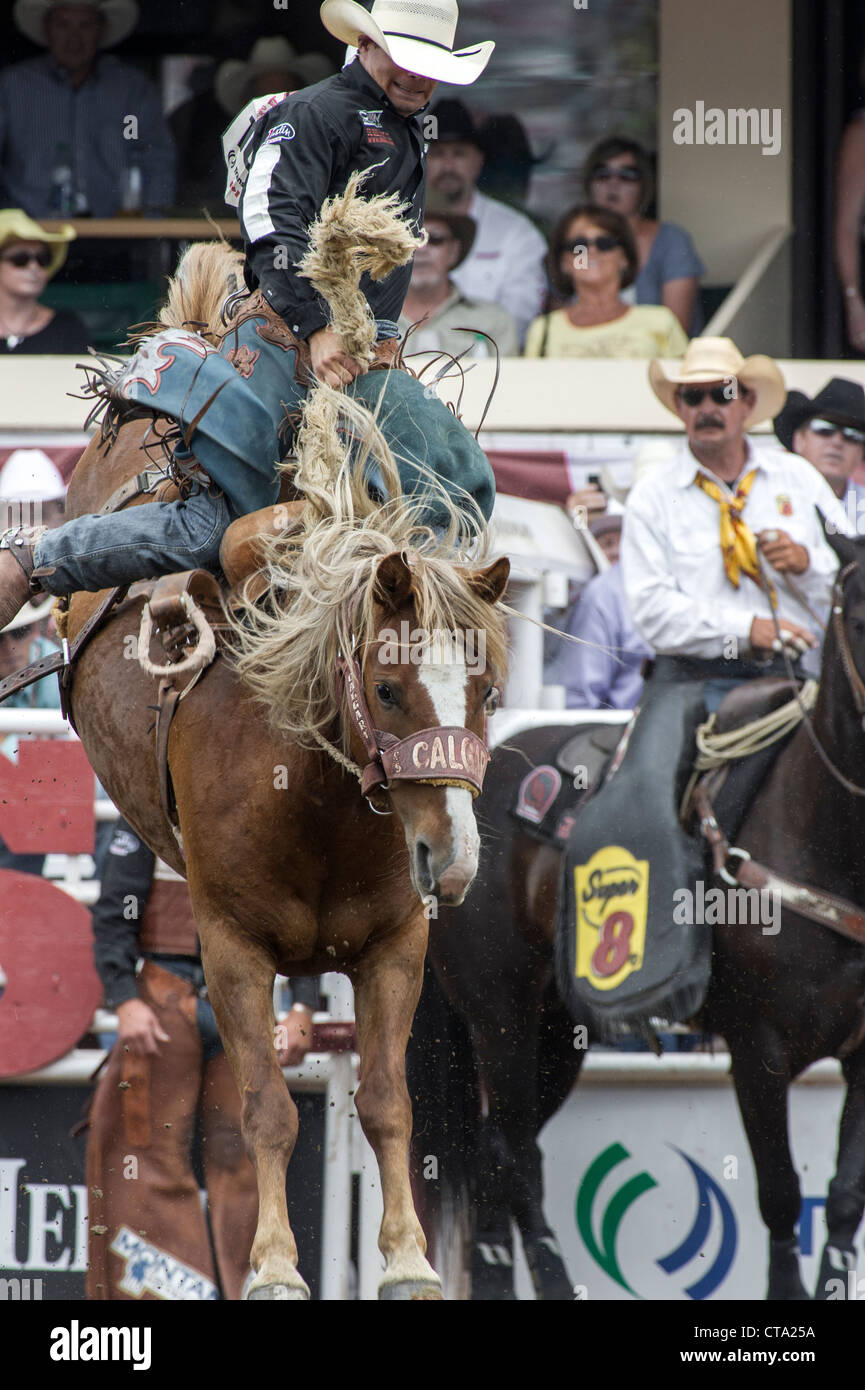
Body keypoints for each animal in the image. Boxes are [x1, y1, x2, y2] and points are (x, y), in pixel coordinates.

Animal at [422, 525, 865, 1295]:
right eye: (862, 615)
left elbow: (842, 1200)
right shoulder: (757, 1049)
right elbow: (781, 1195)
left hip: (555, 1032)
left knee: (493, 1161)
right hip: (499, 1015)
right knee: (512, 1157)